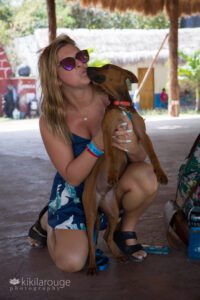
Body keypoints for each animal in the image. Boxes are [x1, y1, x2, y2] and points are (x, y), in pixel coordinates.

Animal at [82, 63, 168, 274]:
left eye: (106, 66)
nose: (87, 68)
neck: (121, 107)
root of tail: (101, 199)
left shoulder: (141, 135)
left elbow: (153, 155)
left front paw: (161, 174)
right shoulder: (107, 133)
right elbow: (111, 156)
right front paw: (112, 174)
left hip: (113, 212)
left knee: (107, 236)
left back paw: (120, 255)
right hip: (90, 213)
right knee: (91, 241)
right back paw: (92, 265)